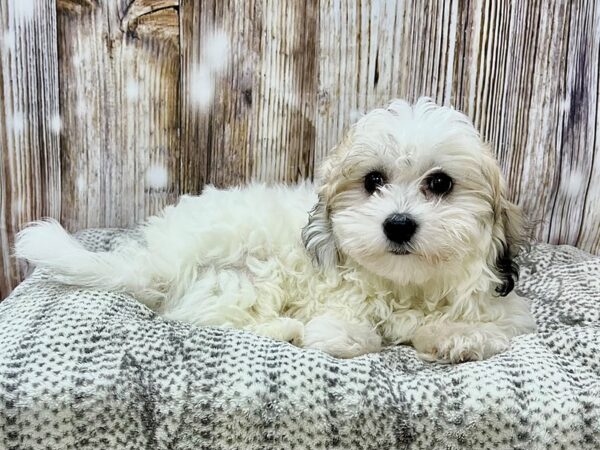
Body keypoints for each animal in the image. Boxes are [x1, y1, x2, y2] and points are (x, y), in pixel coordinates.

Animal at [16, 98, 536, 362]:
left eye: (440, 184)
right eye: (373, 181)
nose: (398, 224)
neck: (405, 283)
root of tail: (160, 255)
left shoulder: (501, 304)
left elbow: (490, 328)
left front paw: (452, 338)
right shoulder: (334, 296)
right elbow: (356, 334)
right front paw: (341, 335)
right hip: (242, 273)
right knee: (203, 315)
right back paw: (285, 329)